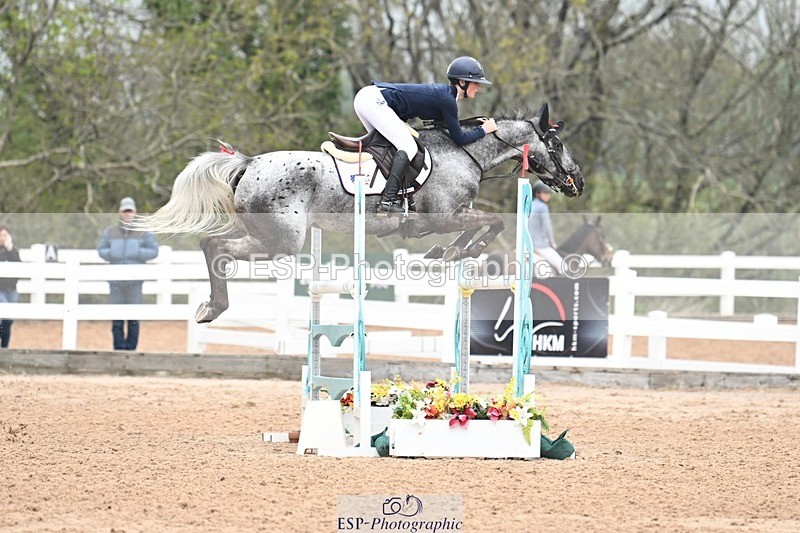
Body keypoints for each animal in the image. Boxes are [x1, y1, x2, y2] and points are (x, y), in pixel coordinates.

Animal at [140, 103, 584, 323]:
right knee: (215, 247)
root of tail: (248, 164)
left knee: (210, 245)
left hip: (265, 235)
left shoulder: (450, 217)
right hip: (280, 241)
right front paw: (460, 253)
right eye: (558, 143)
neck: (464, 151)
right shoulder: (442, 216)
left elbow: (478, 226)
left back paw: (210, 306)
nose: (577, 182)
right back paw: (213, 308)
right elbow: (496, 221)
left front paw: (444, 254)